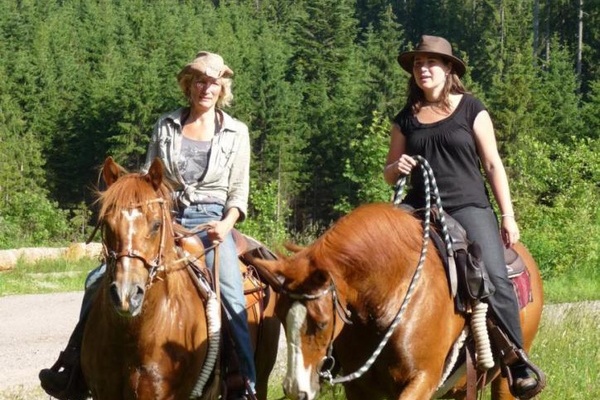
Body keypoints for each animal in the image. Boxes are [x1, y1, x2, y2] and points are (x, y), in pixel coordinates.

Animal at [255, 203, 548, 400]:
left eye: (321, 323)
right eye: (279, 316)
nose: (295, 389)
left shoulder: (422, 380)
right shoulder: (359, 388)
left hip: (504, 382)